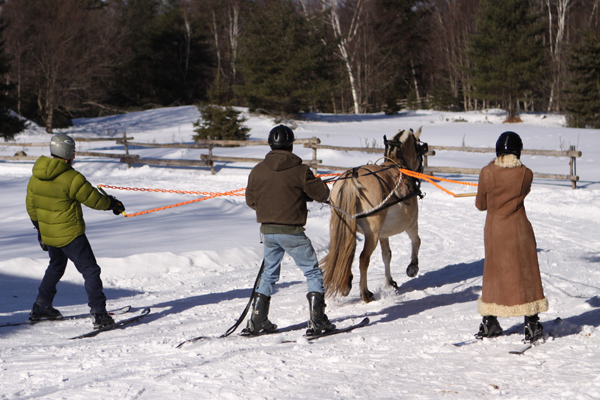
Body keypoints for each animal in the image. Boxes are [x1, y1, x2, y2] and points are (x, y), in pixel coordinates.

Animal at [322, 126, 428, 302]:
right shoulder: (411, 222)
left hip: (345, 227)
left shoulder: (383, 233)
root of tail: (351, 179)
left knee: (344, 252)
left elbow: (387, 255)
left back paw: (347, 281)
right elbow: (416, 241)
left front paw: (389, 281)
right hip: (372, 233)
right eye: (420, 148)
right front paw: (413, 266)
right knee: (363, 258)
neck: (397, 164)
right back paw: (365, 293)